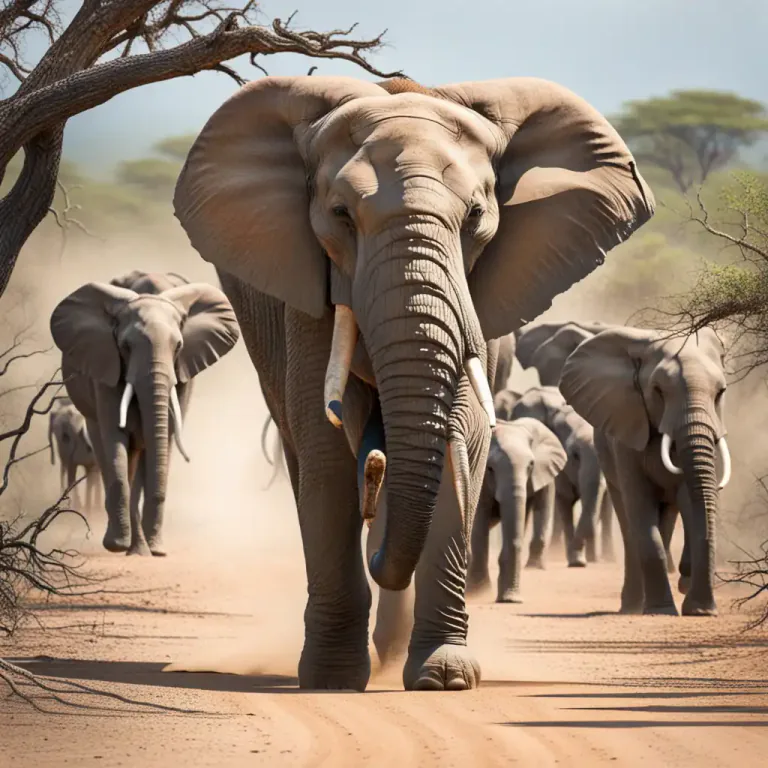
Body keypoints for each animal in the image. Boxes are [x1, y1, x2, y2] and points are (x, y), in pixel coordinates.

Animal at [49, 271, 240, 556]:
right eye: (126, 346)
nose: (158, 550)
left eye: (178, 346)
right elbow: (115, 438)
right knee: (106, 450)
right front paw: (119, 546)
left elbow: (163, 440)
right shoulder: (106, 364)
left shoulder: (182, 375)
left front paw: (156, 550)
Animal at [468, 417, 567, 602]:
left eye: (531, 465)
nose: (511, 599)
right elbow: (479, 520)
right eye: (489, 468)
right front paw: (478, 594)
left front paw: (509, 599)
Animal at [511, 386, 615, 566]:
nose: (578, 560)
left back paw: (605, 560)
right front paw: (576, 561)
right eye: (575, 455)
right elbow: (565, 498)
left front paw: (579, 560)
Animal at [559, 326, 731, 616]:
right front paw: (662, 611)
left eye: (721, 392)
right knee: (630, 525)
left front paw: (698, 609)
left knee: (666, 519)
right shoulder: (626, 434)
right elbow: (641, 509)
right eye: (658, 390)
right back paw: (632, 607)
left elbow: (690, 499)